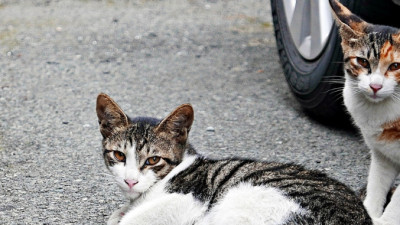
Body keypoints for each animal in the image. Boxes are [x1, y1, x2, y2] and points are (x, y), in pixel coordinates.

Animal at [332, 0, 400, 224]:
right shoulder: (383, 153)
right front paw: (368, 212)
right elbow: (376, 184)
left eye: (395, 66)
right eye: (362, 62)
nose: (375, 86)